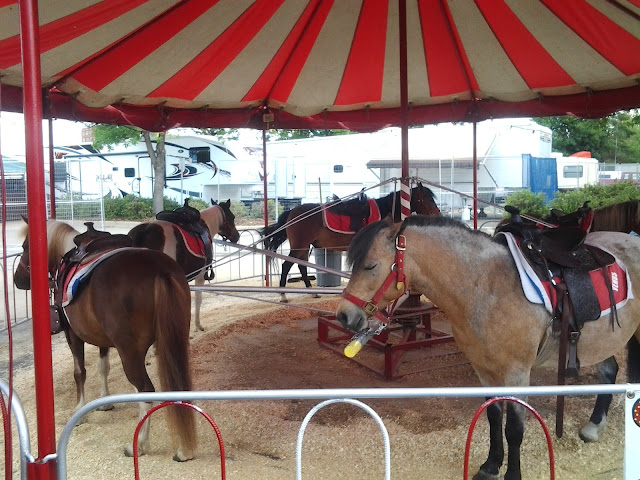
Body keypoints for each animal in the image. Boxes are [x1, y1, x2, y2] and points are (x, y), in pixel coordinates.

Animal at [260, 182, 440, 302]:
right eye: (427, 199)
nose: (437, 214)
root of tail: (292, 212)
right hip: (300, 246)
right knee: (287, 266)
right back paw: (283, 294)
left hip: (304, 248)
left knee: (301, 266)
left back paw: (312, 292)